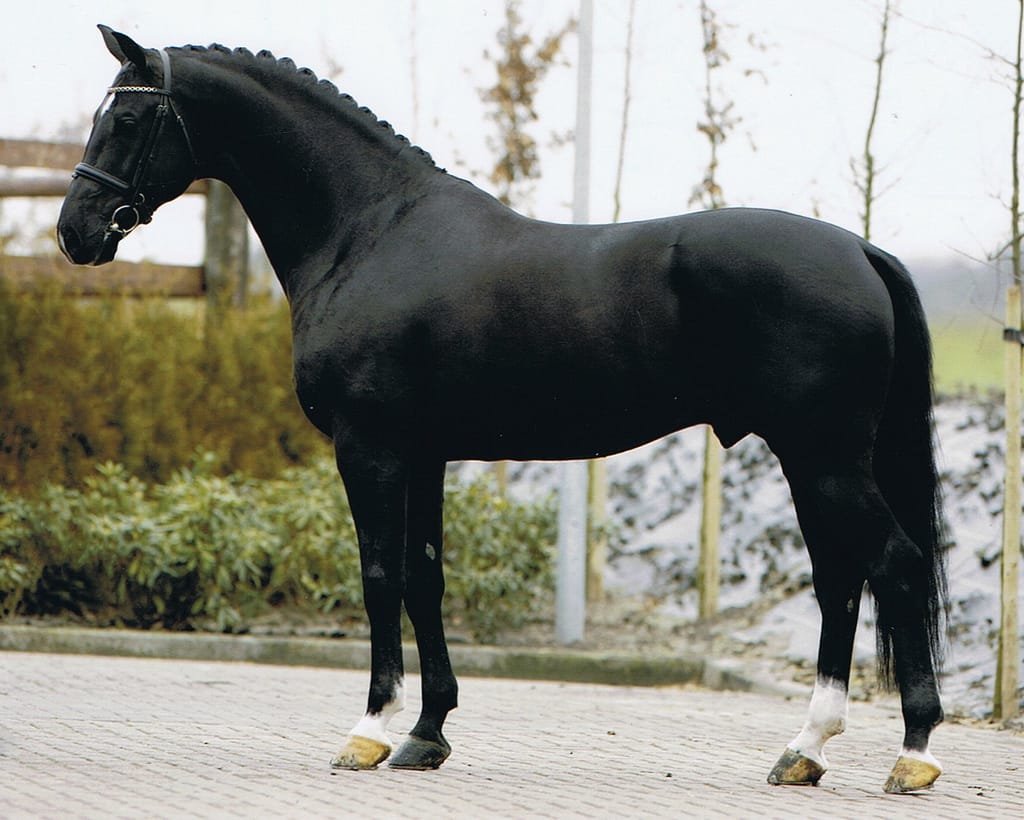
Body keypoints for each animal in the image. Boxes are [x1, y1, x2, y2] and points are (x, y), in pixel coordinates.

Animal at [57, 26, 949, 793]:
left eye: (127, 117)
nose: (76, 233)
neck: (371, 232)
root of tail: (859, 248)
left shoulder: (370, 448)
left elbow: (379, 576)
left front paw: (369, 731)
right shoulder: (423, 454)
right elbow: (425, 579)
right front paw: (426, 734)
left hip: (823, 455)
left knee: (895, 564)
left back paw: (910, 753)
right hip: (812, 457)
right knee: (841, 578)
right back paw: (804, 750)